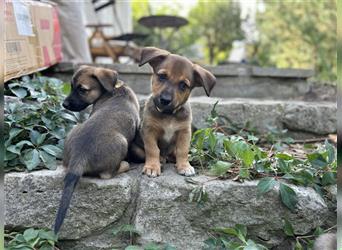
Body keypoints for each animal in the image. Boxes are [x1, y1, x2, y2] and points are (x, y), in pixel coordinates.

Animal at [53, 66, 139, 234]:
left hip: (75, 128)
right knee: (107, 174)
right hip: (122, 142)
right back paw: (125, 165)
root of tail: (80, 156)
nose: (64, 104)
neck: (115, 88)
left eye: (82, 89)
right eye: (71, 86)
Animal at [134, 47, 216, 178]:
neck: (169, 115)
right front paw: (152, 167)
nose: (165, 100)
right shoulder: (149, 130)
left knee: (175, 153)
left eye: (183, 85)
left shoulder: (184, 132)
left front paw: (184, 166)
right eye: (162, 76)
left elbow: (182, 151)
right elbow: (152, 150)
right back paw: (161, 160)